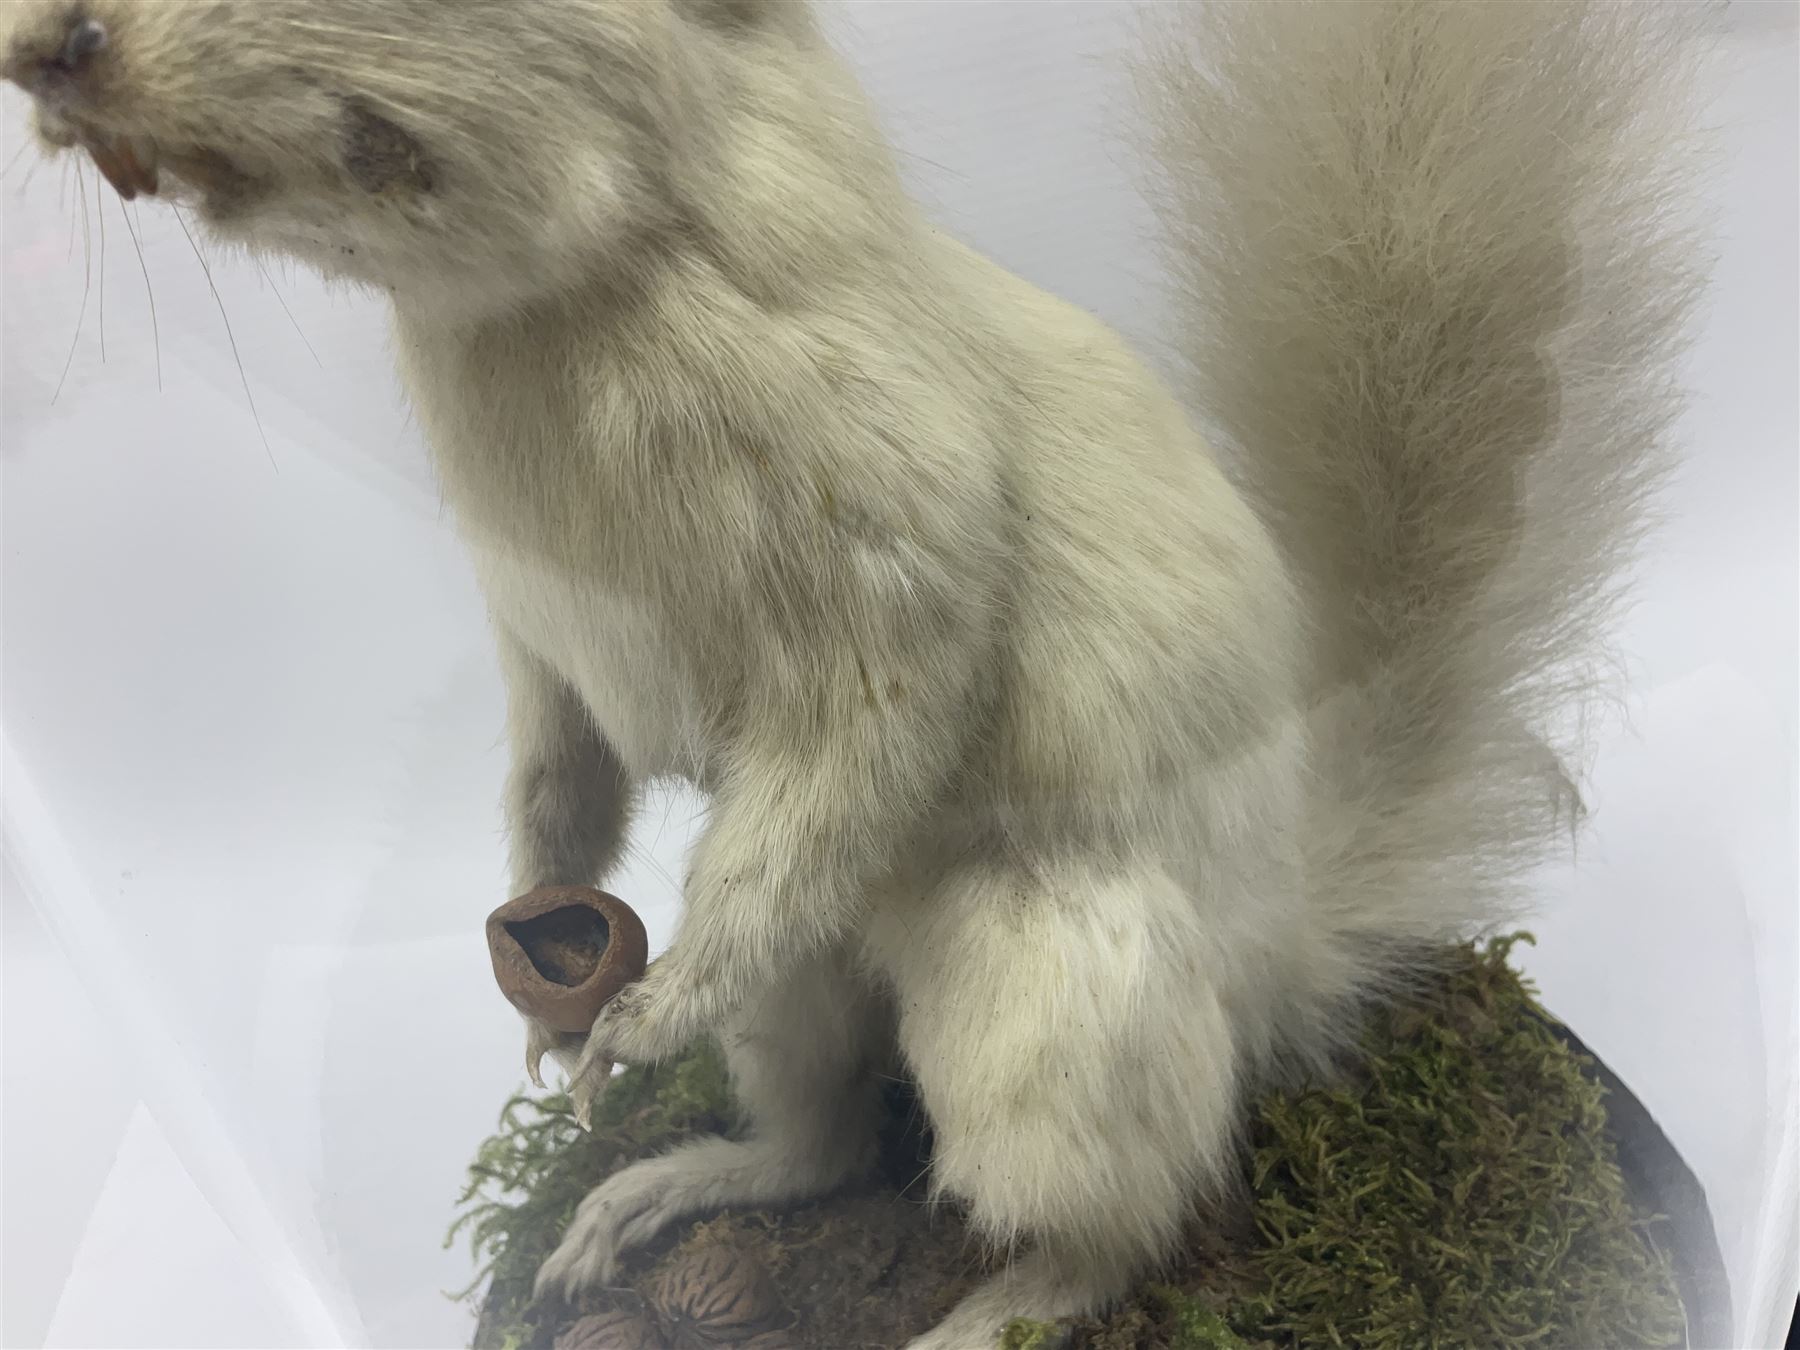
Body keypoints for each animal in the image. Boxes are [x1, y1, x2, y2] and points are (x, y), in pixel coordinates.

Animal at [4, 2, 1703, 1344]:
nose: (42, 46)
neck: (539, 320)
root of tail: (1279, 951)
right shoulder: (537, 630)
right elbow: (558, 769)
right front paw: (551, 994)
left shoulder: (888, 543)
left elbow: (873, 726)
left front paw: (637, 1020)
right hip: (816, 978)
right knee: (825, 1144)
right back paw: (659, 1191)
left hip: (1041, 1013)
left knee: (1127, 1211)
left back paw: (999, 1307)